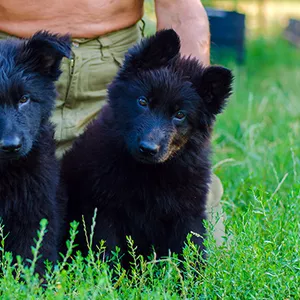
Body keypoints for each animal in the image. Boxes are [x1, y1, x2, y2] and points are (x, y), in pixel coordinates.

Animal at [61, 29, 234, 266]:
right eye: (143, 101)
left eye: (180, 114)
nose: (148, 149)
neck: (149, 174)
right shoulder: (103, 210)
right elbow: (108, 253)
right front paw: (108, 276)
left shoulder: (188, 213)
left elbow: (191, 251)